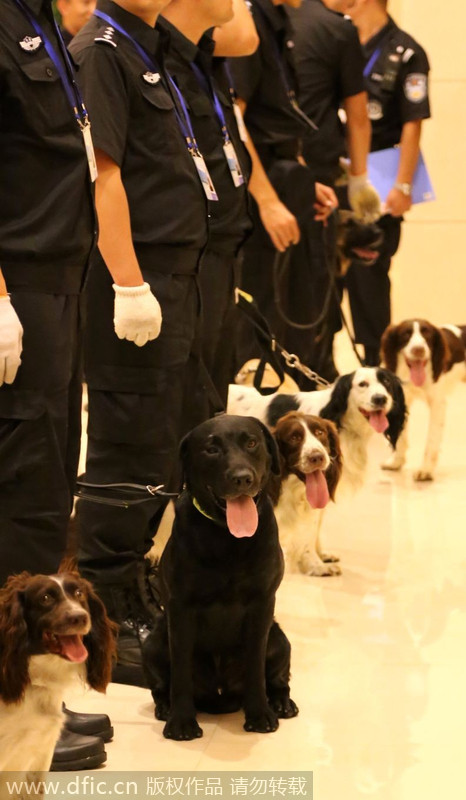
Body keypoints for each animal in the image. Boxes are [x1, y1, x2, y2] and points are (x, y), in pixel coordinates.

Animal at [142, 416, 298, 740]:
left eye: (251, 442)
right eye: (211, 449)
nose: (242, 478)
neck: (228, 538)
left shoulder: (262, 604)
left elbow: (256, 667)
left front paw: (260, 714)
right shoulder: (181, 608)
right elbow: (180, 673)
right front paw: (181, 722)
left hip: (280, 641)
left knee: (278, 679)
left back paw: (281, 703)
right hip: (153, 644)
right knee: (161, 685)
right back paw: (166, 708)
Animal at [380, 318, 464, 482]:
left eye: (427, 334)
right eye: (406, 334)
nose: (418, 350)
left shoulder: (438, 403)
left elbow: (431, 439)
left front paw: (425, 470)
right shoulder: (402, 401)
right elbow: (401, 436)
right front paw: (397, 462)